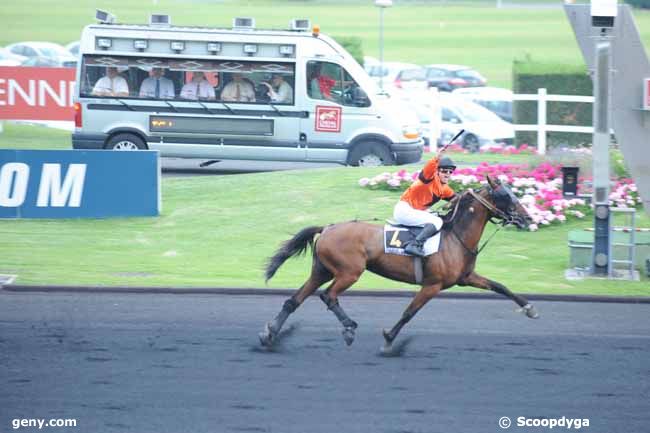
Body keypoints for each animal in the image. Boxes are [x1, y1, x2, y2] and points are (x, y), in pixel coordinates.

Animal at [258, 176, 536, 352]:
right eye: (505, 195)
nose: (527, 219)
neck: (454, 236)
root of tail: (327, 228)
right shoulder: (432, 285)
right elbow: (408, 313)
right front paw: (389, 339)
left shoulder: (466, 278)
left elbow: (500, 286)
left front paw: (529, 308)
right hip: (349, 272)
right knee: (328, 296)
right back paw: (348, 328)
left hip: (322, 270)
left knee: (294, 300)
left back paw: (270, 334)